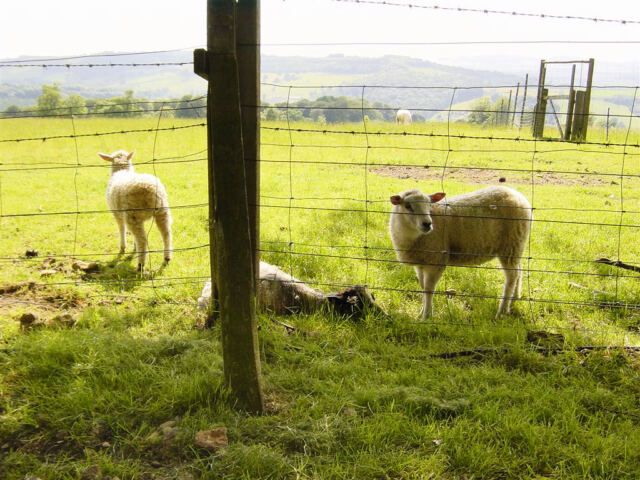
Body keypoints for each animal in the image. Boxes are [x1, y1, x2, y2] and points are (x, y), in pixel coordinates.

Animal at [389, 186, 532, 319]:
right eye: (407, 206)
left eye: (429, 204)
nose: (427, 224)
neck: (414, 237)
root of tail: (518, 195)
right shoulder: (421, 263)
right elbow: (423, 287)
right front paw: (421, 313)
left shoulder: (436, 260)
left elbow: (429, 289)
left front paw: (426, 316)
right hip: (516, 245)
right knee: (519, 270)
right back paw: (515, 298)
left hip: (511, 243)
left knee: (512, 277)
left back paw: (502, 311)